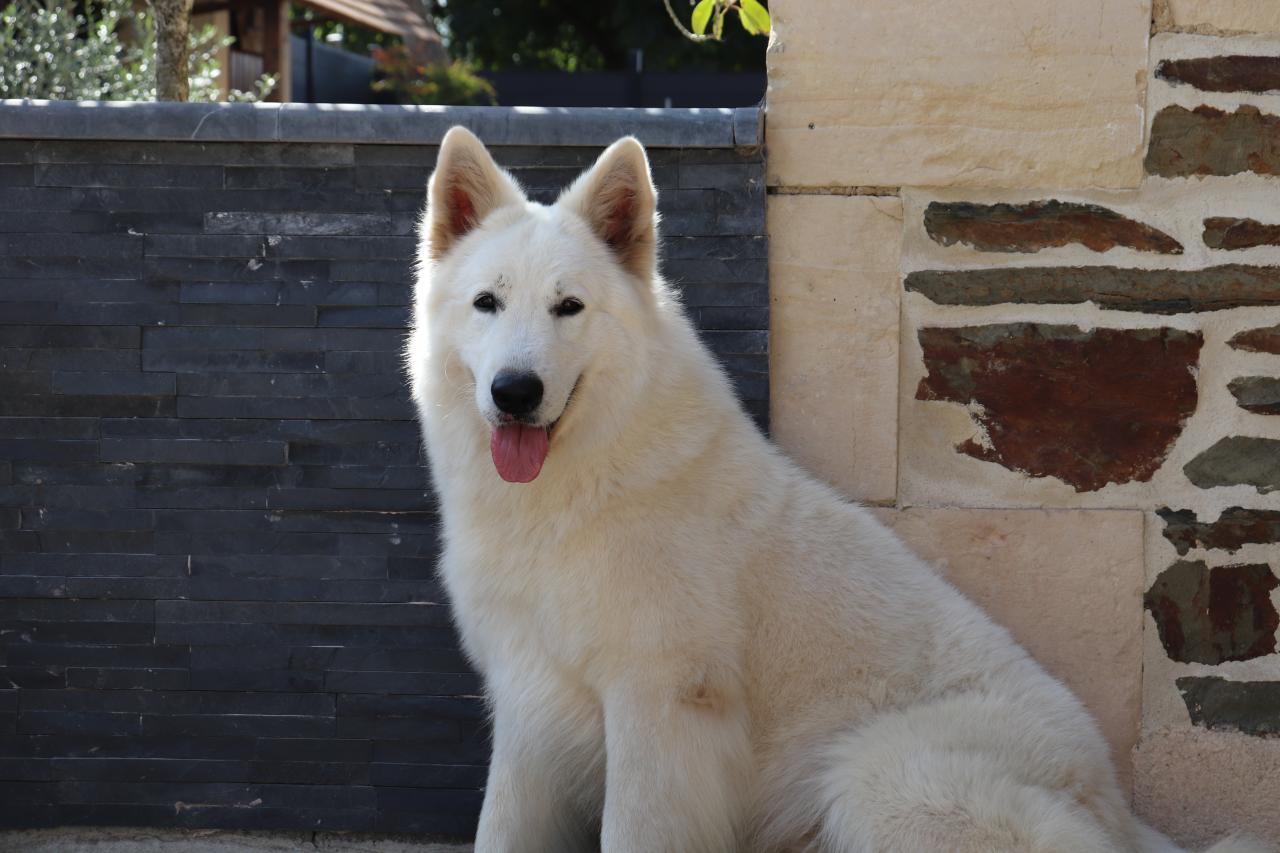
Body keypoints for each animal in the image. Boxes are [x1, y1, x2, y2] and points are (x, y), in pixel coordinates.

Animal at [407, 126, 1259, 850]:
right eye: (487, 302)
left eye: (569, 307)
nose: (515, 391)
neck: (575, 486)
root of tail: (1117, 812)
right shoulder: (528, 705)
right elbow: (499, 828)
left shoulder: (657, 706)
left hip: (882, 780)